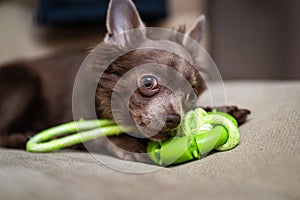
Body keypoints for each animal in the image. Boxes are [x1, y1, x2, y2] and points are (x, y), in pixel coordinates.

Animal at [0, 0, 250, 162]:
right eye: (148, 82)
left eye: (190, 95)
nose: (174, 119)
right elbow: (105, 137)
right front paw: (131, 146)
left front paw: (225, 110)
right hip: (23, 82)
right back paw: (22, 136)